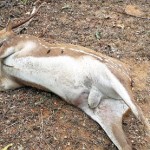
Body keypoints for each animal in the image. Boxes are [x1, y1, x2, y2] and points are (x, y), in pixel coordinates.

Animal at [0, 9, 149, 150]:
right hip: (107, 113)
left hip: (115, 77)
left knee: (142, 117)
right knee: (126, 144)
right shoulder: (10, 81)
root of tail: (130, 81)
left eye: (2, 31)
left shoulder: (23, 43)